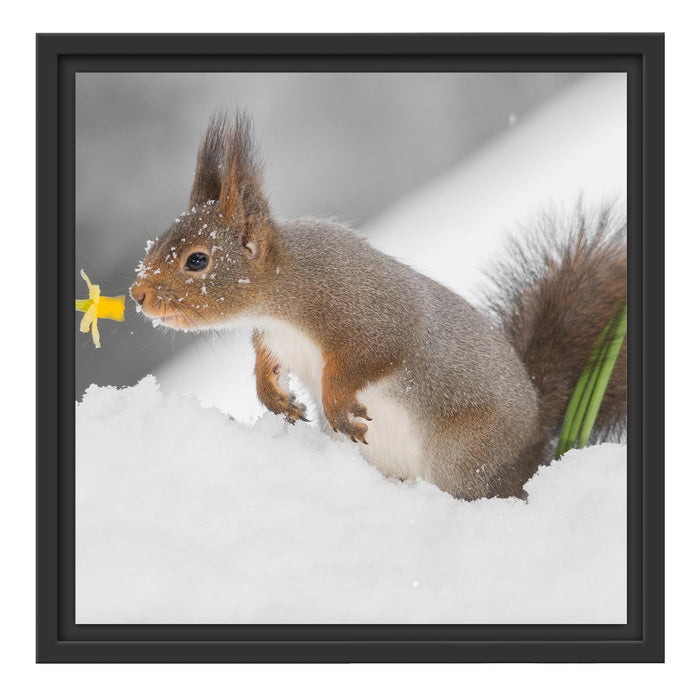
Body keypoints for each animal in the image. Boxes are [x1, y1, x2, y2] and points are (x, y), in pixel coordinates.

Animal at [130, 112, 627, 501]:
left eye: (198, 260)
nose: (138, 295)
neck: (283, 294)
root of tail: (536, 445)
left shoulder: (369, 314)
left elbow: (371, 356)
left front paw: (335, 403)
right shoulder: (274, 338)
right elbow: (266, 364)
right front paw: (276, 399)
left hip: (467, 457)